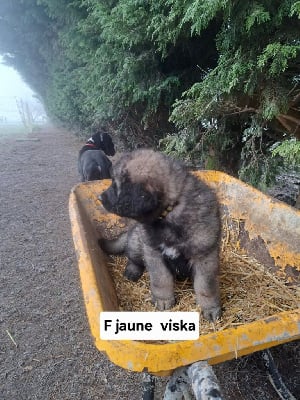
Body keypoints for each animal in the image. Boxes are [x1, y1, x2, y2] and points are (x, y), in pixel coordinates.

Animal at [98, 148, 220, 320]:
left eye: (116, 186)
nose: (99, 197)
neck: (169, 212)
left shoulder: (205, 256)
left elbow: (205, 286)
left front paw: (210, 308)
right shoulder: (153, 251)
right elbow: (161, 279)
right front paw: (163, 300)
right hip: (137, 243)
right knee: (133, 258)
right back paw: (132, 271)